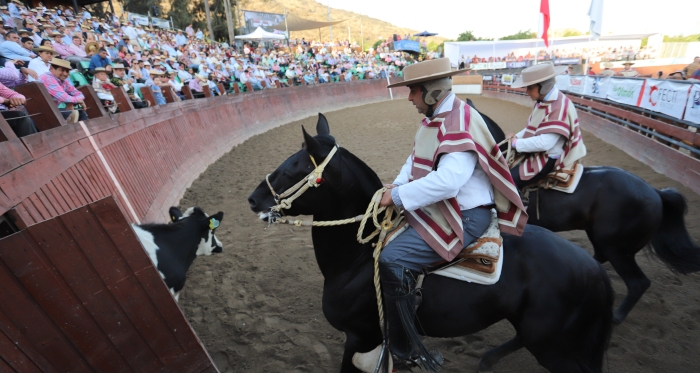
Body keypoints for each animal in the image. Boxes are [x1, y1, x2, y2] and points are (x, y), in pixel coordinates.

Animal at [247, 115, 612, 370]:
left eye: (292, 168)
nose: (253, 199)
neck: (358, 260)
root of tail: (593, 268)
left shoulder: (361, 338)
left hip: (552, 346)